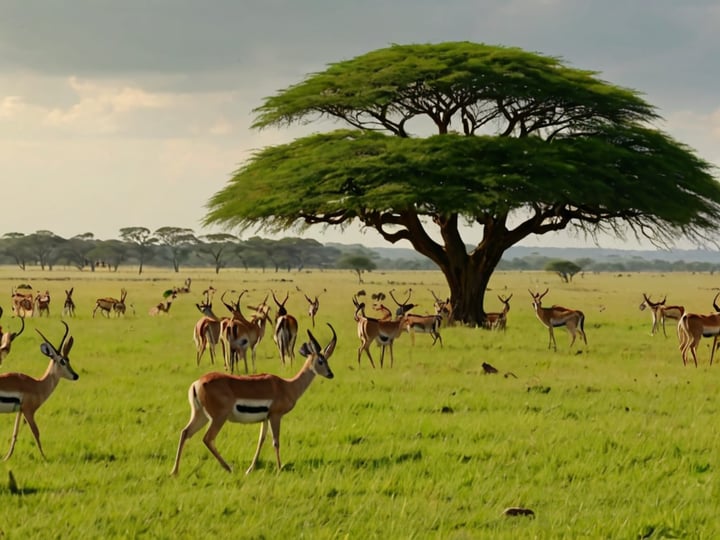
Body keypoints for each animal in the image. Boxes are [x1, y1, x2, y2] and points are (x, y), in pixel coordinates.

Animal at [0, 321, 79, 460]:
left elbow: (15, 434)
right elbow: (36, 433)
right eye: (62, 361)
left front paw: (6, 458)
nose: (75, 376)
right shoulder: (29, 411)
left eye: (68, 360)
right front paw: (45, 457)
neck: (37, 384)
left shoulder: (20, 411)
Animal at [170, 323, 336, 476]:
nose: (330, 374)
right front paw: (280, 468)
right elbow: (275, 441)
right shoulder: (275, 416)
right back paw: (228, 468)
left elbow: (261, 441)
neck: (287, 386)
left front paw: (250, 469)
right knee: (207, 438)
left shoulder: (265, 418)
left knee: (185, 432)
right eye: (320, 361)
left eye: (327, 359)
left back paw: (175, 471)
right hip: (218, 418)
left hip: (201, 415)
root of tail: (198, 383)